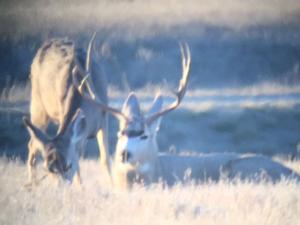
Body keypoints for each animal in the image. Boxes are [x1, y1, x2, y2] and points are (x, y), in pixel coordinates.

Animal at [22, 33, 110, 185]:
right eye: (47, 169)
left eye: (68, 165)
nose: (60, 186)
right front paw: (80, 188)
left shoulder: (104, 118)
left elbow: (105, 159)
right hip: (38, 105)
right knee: (32, 143)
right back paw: (32, 183)